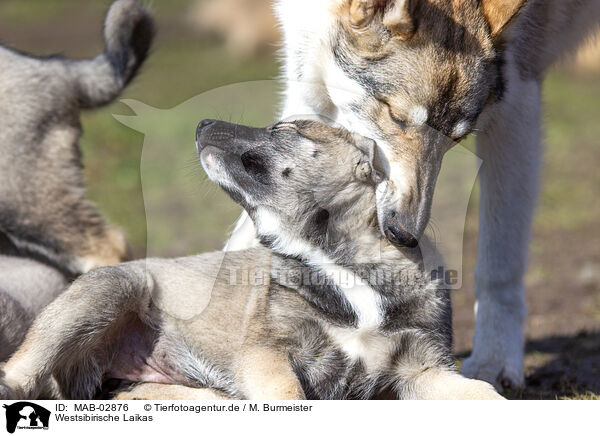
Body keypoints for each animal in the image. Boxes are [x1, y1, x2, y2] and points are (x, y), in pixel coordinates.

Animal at [224, 0, 600, 388]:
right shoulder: (309, 82)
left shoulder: (518, 93)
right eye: (396, 117)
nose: (404, 234)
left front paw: (494, 362)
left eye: (456, 138)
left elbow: (499, 262)